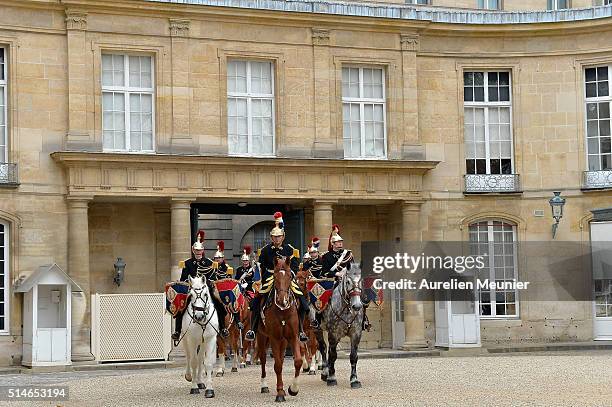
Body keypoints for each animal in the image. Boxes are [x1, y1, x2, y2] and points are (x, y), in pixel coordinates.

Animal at [255, 256, 302, 404]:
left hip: (283, 340)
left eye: (289, 276)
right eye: (274, 276)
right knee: (263, 359)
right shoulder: (274, 338)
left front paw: (293, 389)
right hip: (261, 336)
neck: (283, 310)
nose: (283, 301)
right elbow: (278, 365)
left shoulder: (293, 337)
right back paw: (264, 386)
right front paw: (280, 393)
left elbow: (298, 361)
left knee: (281, 356)